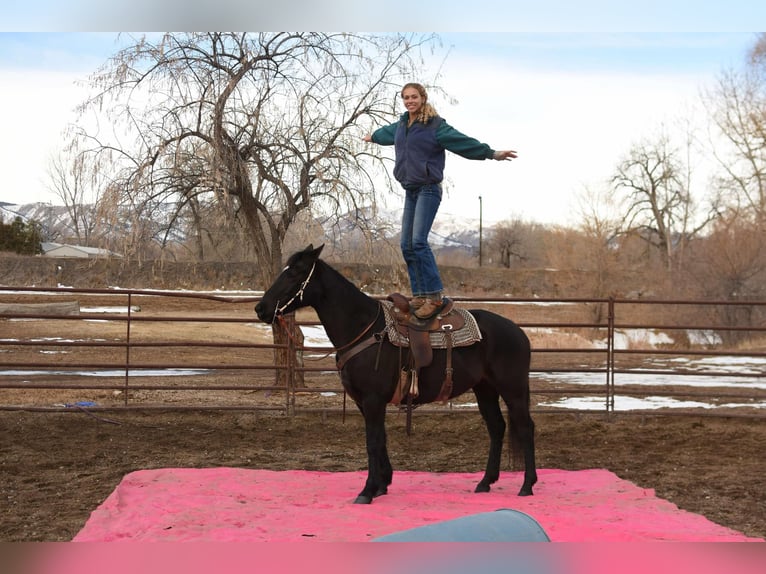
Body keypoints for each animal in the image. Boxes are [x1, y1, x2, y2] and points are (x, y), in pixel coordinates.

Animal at [254, 244, 537, 504]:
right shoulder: (365, 402)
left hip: (512, 389)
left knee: (525, 427)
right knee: (497, 428)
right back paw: (485, 482)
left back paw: (527, 485)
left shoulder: (372, 399)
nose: (260, 308)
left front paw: (367, 491)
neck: (365, 329)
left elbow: (372, 441)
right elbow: (381, 439)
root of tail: (519, 332)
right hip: (485, 389)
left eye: (295, 273)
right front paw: (382, 484)